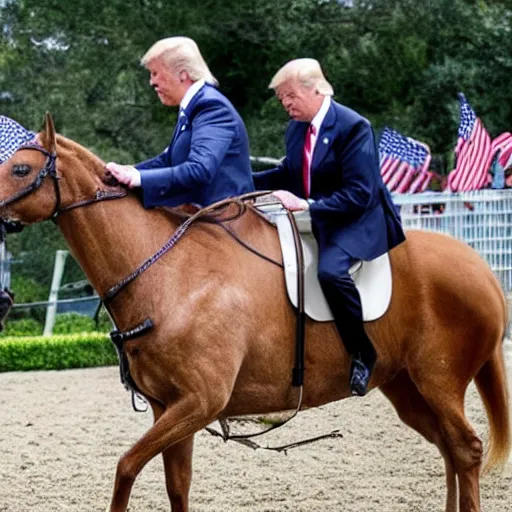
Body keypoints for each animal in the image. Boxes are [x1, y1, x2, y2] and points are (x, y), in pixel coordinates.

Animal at [0, 113, 510, 512]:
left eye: (21, 168)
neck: (167, 270)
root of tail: (479, 266)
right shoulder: (170, 407)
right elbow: (176, 486)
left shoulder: (199, 402)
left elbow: (126, 467)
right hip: (406, 387)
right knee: (449, 450)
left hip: (438, 381)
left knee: (466, 450)